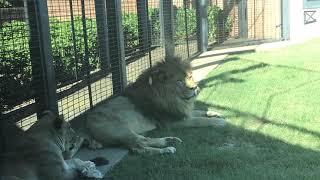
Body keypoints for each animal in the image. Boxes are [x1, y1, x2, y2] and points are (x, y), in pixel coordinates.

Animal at [84, 56, 226, 155]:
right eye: (179, 81)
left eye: (190, 76)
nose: (195, 88)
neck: (173, 99)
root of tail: (83, 129)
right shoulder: (171, 122)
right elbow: (199, 120)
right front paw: (219, 122)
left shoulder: (180, 112)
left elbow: (198, 112)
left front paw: (214, 113)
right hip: (121, 130)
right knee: (140, 146)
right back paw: (167, 148)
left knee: (142, 142)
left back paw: (169, 141)